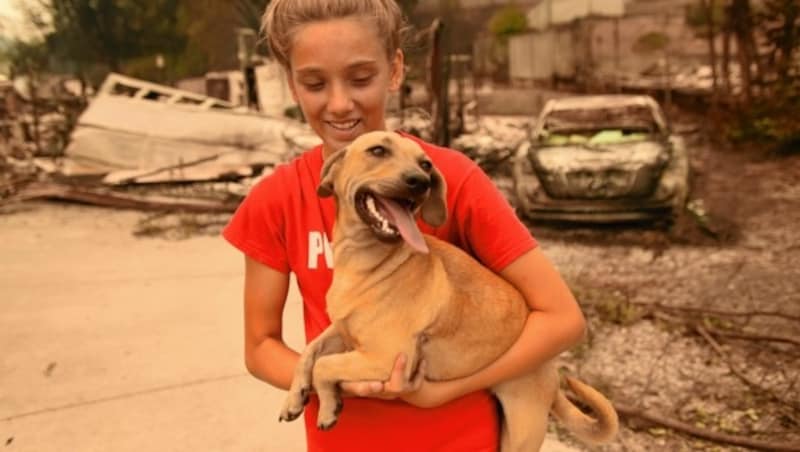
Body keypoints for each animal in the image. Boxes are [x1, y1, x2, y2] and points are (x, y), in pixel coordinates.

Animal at [280, 132, 620, 452]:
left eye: (426, 164)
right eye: (377, 150)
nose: (420, 182)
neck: (368, 262)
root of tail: (552, 373)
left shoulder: (383, 357)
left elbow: (324, 365)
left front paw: (327, 406)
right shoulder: (344, 331)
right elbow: (310, 352)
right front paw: (296, 397)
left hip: (522, 433)